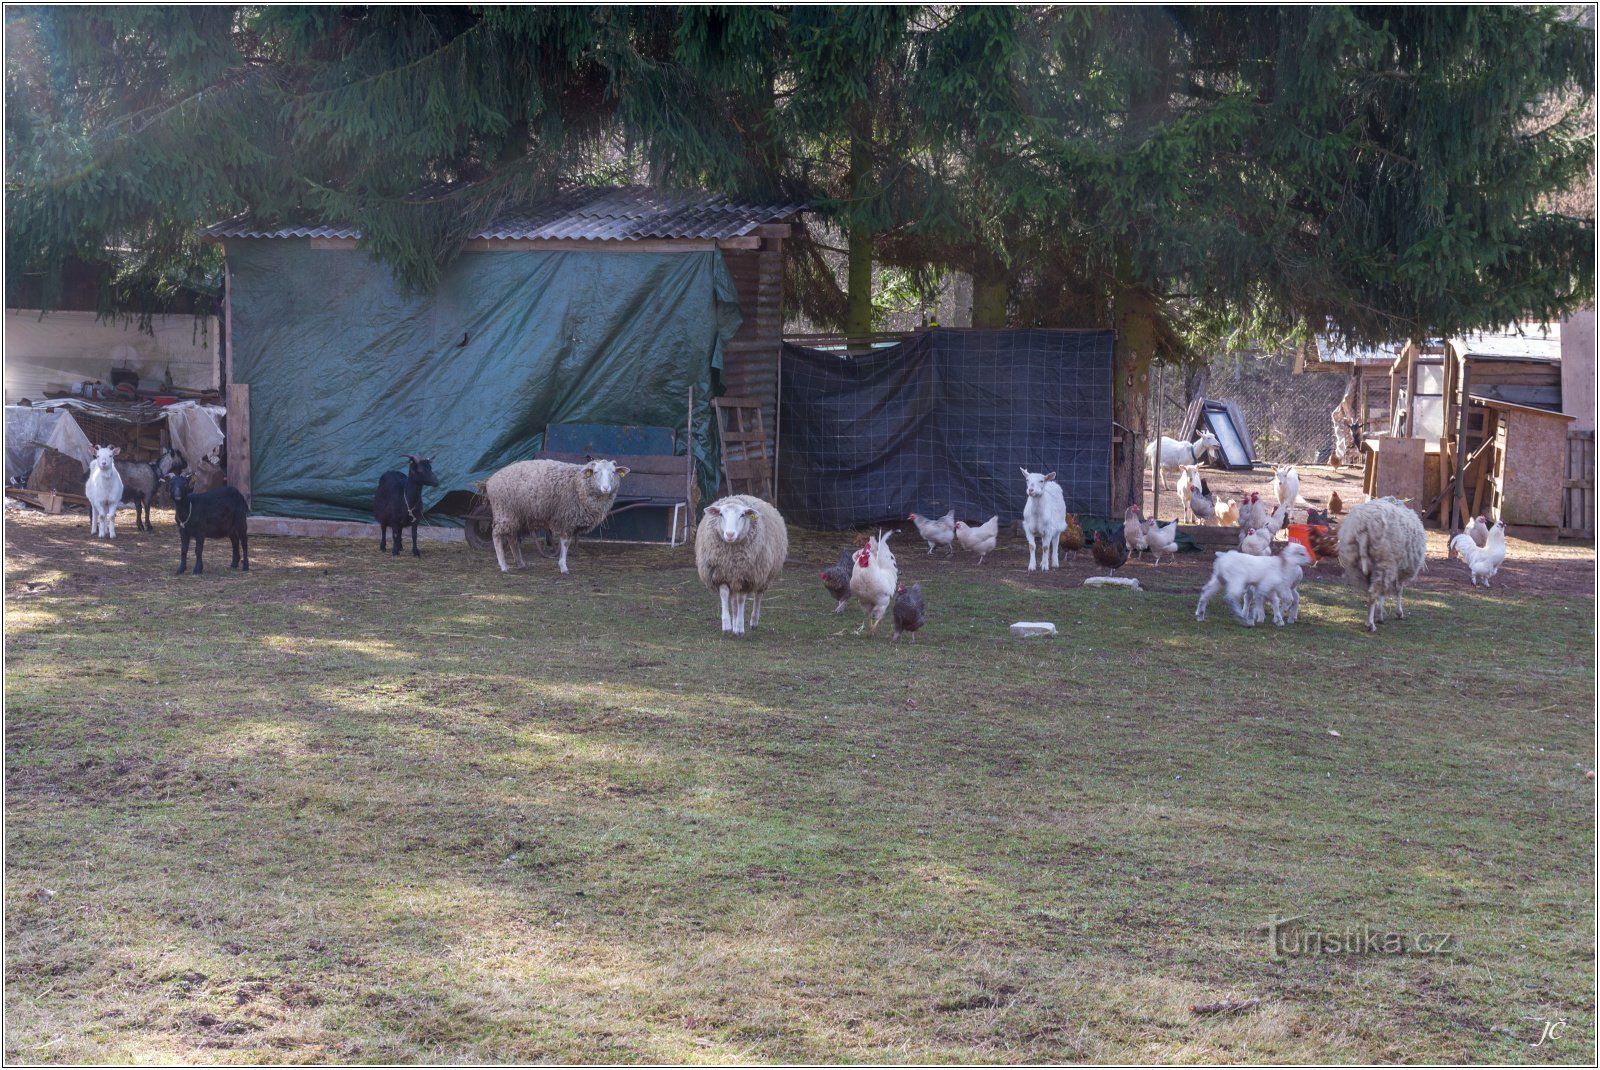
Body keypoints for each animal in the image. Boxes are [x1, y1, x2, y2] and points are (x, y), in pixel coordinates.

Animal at [486, 460, 630, 575]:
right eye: (595, 472)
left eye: (613, 472)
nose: (606, 488)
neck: (579, 483)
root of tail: (490, 480)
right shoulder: (567, 519)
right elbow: (565, 543)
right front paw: (563, 567)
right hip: (504, 511)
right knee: (496, 535)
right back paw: (503, 566)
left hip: (516, 515)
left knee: (512, 537)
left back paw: (520, 563)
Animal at [694, 492, 787, 633]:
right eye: (721, 514)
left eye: (742, 515)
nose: (730, 534)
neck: (731, 558)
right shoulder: (721, 574)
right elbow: (724, 595)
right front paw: (727, 624)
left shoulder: (746, 577)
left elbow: (742, 599)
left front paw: (739, 627)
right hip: (734, 577)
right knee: (733, 599)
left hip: (763, 575)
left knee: (757, 596)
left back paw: (753, 622)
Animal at [1337, 495, 1427, 630]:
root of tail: (1363, 528)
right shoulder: (1401, 569)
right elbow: (1399, 589)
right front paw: (1398, 613)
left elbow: (1383, 593)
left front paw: (1380, 615)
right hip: (1384, 560)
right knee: (1374, 592)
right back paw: (1370, 625)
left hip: (1357, 564)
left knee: (1371, 591)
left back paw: (1370, 619)